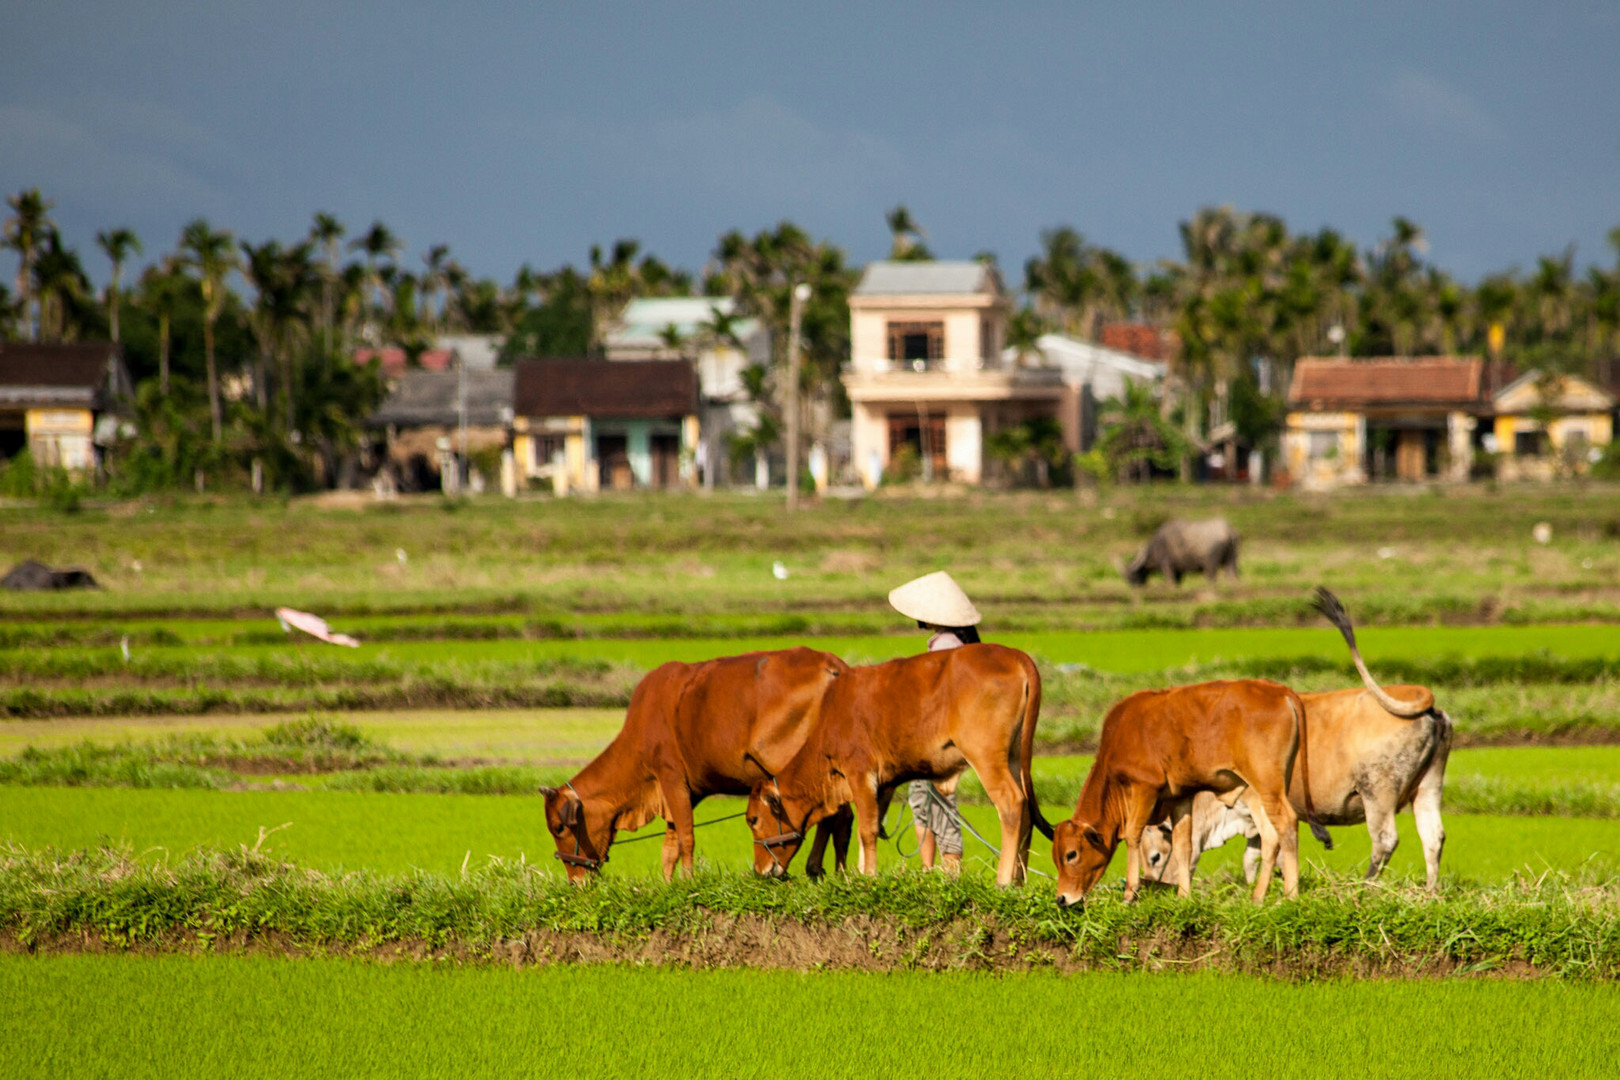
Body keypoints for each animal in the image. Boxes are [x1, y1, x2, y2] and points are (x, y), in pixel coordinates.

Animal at [745, 641, 1049, 887]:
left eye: (753, 820)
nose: (760, 870)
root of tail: (1013, 654)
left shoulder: (859, 772)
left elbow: (867, 830)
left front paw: (868, 876)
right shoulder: (883, 784)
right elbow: (870, 827)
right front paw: (862, 872)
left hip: (985, 755)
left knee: (1012, 803)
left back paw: (1004, 880)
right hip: (1014, 758)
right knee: (1027, 811)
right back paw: (1019, 879)